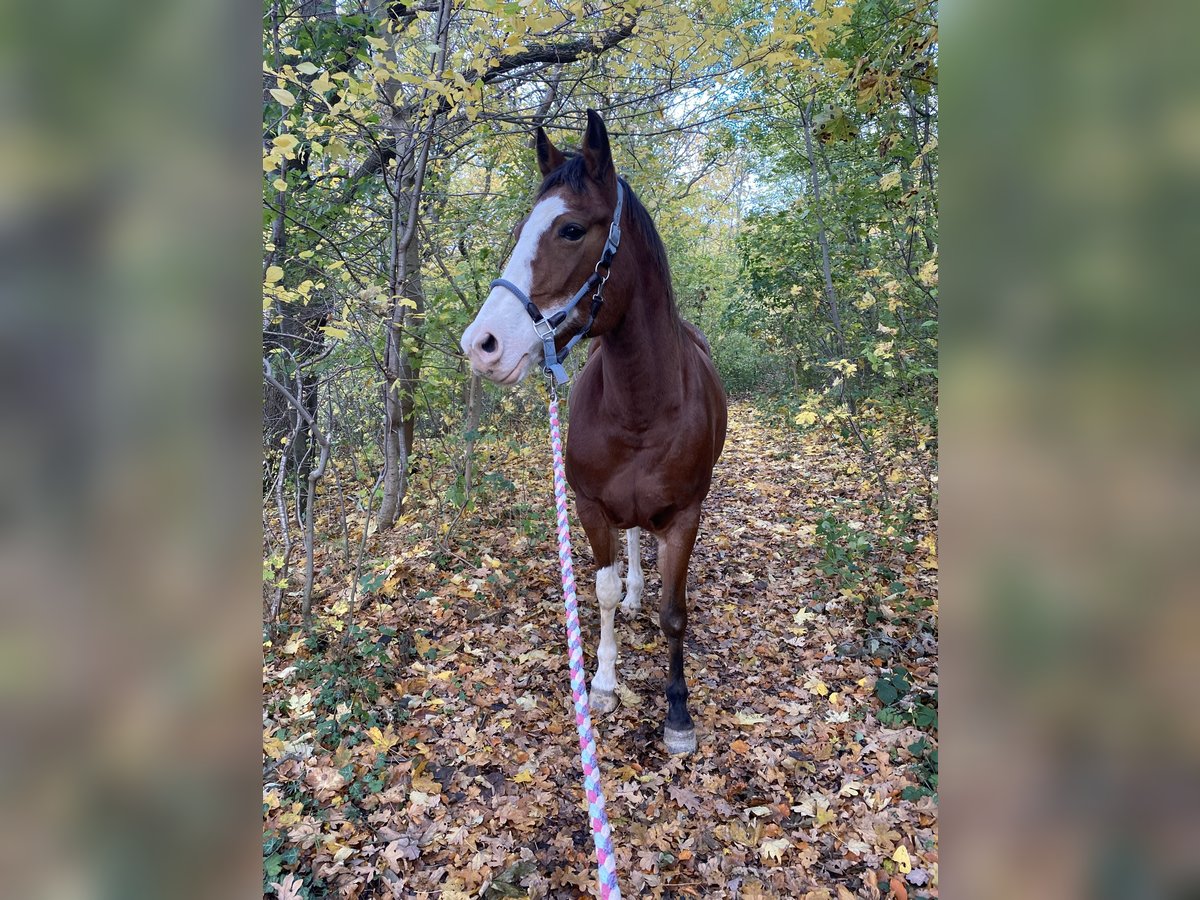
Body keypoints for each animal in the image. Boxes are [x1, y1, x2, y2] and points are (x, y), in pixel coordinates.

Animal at [460, 109, 727, 754]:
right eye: (519, 230)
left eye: (571, 229)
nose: (481, 345)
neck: (641, 409)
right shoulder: (588, 506)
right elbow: (601, 592)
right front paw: (602, 682)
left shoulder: (685, 515)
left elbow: (674, 612)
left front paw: (678, 713)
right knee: (630, 543)